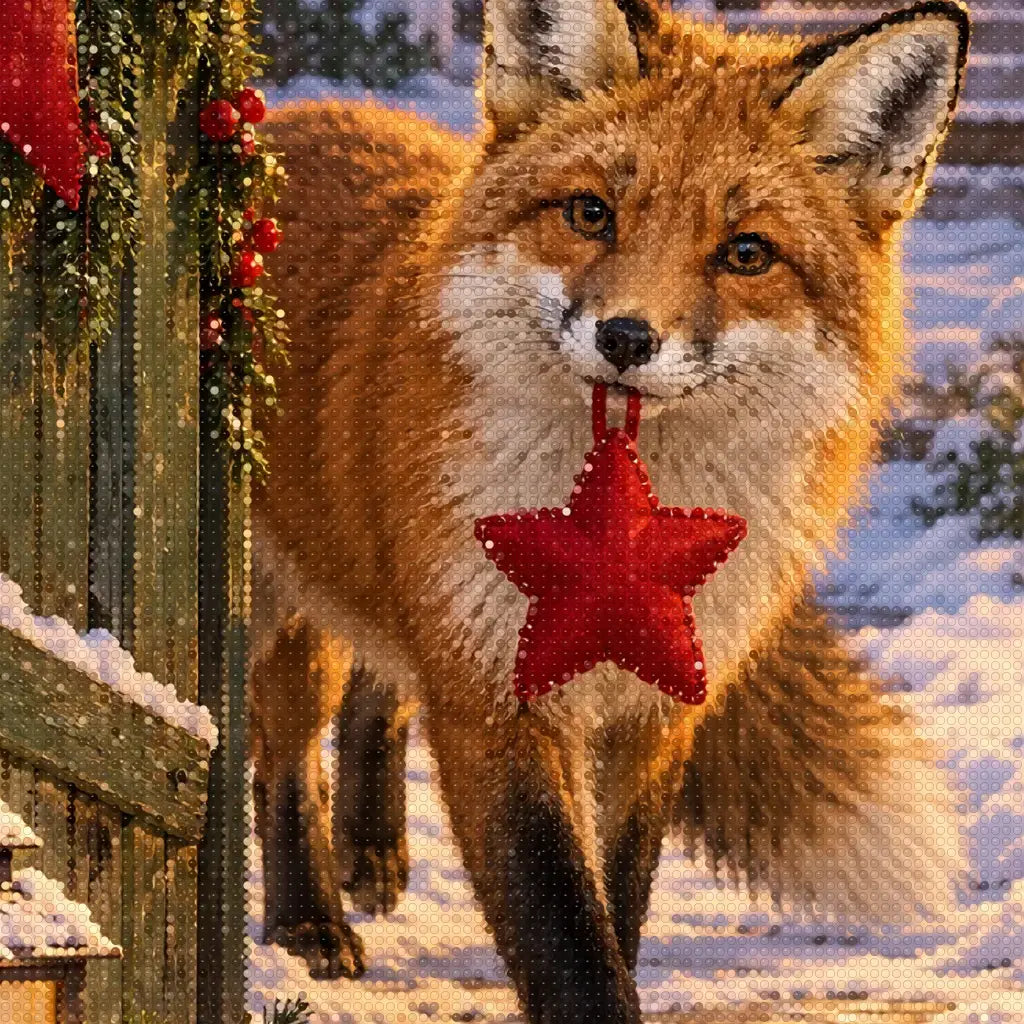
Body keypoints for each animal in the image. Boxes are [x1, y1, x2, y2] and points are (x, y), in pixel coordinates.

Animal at [250, 0, 971, 1018]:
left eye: (746, 253)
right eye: (592, 213)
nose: (627, 337)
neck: (617, 519)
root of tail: (296, 116)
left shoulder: (654, 710)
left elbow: (618, 903)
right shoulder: (494, 696)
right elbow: (564, 931)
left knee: (378, 695)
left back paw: (373, 851)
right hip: (277, 597)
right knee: (284, 753)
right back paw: (307, 920)